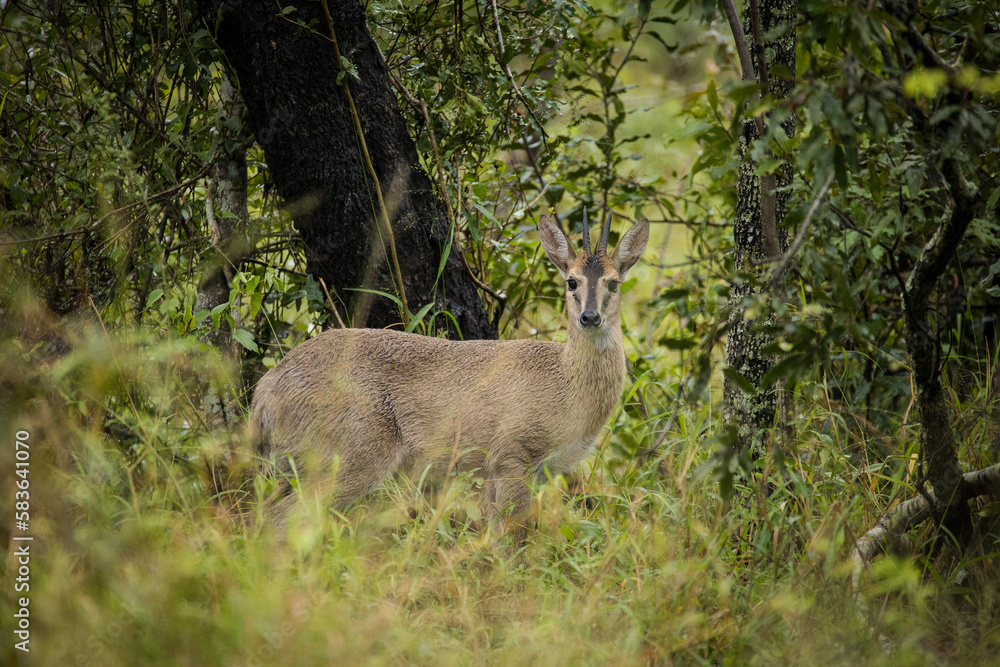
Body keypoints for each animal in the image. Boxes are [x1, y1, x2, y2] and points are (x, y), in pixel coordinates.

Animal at [249, 212, 649, 538]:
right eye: (572, 282)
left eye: (614, 282)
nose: (589, 317)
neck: (565, 383)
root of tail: (265, 390)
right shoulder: (512, 457)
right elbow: (515, 537)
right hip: (348, 457)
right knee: (280, 519)